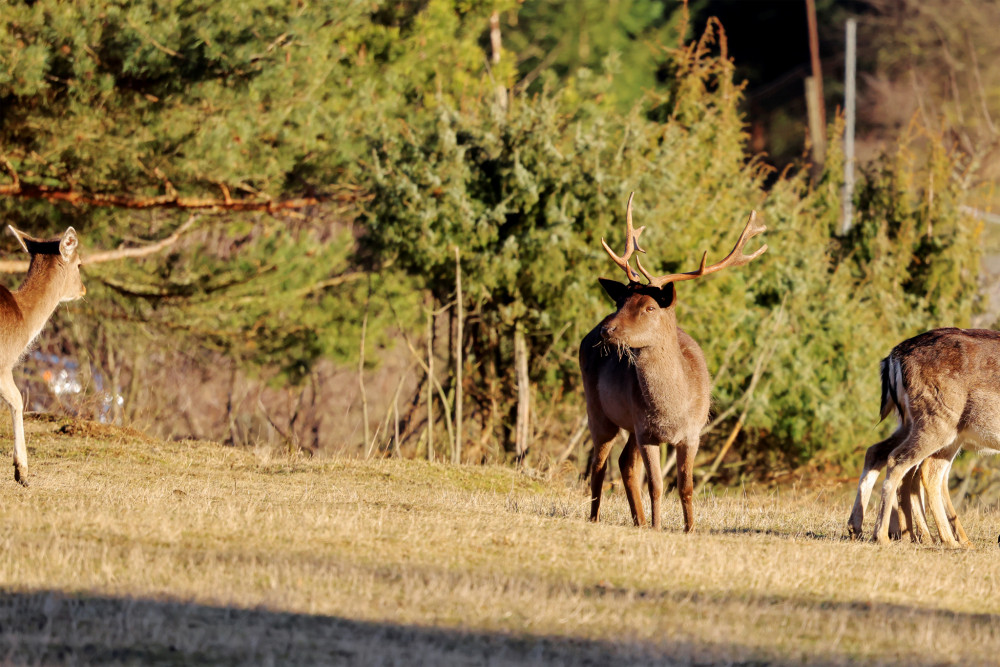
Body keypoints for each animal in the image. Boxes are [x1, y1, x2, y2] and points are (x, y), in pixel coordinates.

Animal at [580, 193, 764, 532]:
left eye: (650, 307)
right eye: (620, 301)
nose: (606, 330)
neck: (673, 411)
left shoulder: (692, 433)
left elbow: (686, 487)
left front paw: (689, 529)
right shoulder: (646, 432)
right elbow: (656, 485)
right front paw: (657, 526)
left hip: (627, 425)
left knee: (624, 463)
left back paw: (637, 520)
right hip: (598, 410)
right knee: (599, 464)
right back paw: (596, 517)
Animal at [844, 328, 1000, 548]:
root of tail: (893, 357)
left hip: (915, 423)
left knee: (878, 452)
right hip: (938, 422)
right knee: (907, 464)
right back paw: (889, 536)